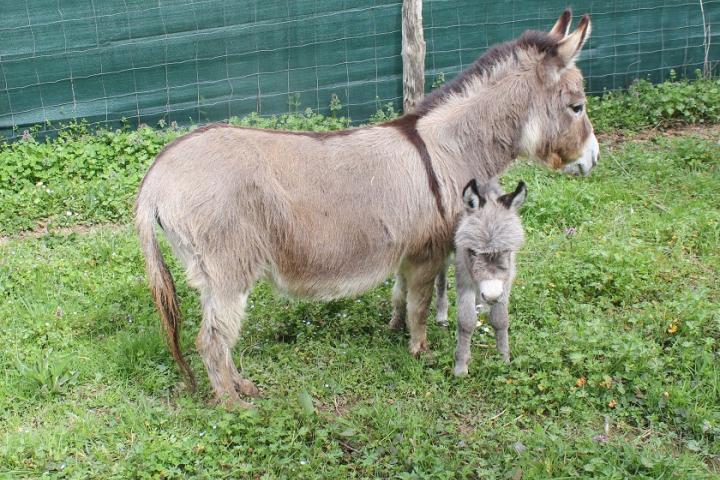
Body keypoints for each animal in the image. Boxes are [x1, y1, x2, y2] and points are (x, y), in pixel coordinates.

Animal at [452, 178, 524, 376]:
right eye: (473, 251)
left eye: (507, 251)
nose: (491, 296)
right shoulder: (464, 277)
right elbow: (466, 321)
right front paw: (461, 366)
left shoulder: (506, 281)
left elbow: (501, 320)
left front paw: (504, 359)